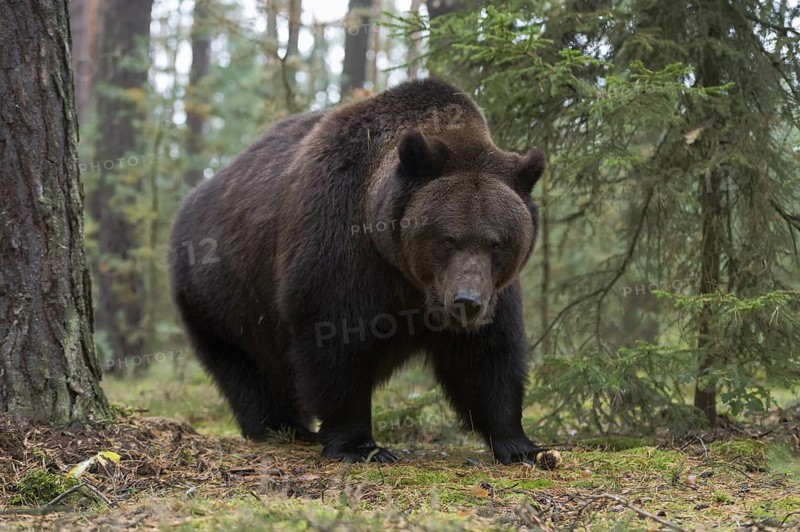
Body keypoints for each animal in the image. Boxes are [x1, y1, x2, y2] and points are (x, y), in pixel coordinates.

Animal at [169, 78, 548, 464]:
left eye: (496, 242)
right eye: (448, 239)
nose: (466, 301)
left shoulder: (493, 291)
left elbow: (488, 356)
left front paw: (522, 445)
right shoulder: (341, 244)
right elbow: (336, 341)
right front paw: (360, 445)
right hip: (220, 295)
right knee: (243, 367)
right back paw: (279, 426)